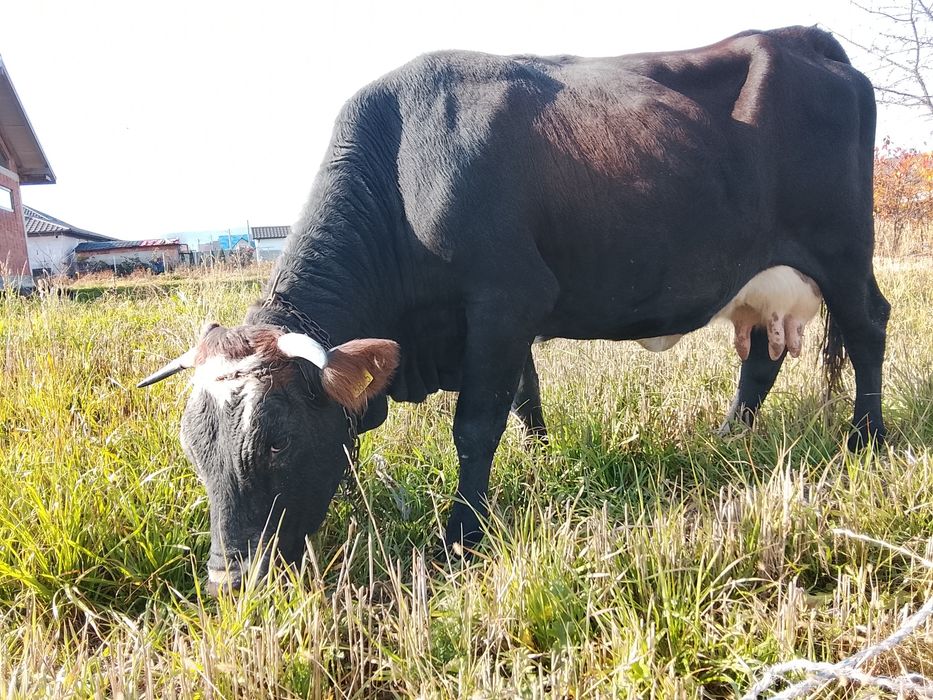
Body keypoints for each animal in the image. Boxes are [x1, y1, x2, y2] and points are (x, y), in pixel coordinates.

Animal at [138, 26, 889, 594]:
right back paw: (729, 436)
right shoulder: (505, 324)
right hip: (762, 286)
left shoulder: (505, 301)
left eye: (276, 442)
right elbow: (526, 405)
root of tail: (800, 37)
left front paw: (461, 533)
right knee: (761, 361)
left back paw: (867, 440)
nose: (229, 583)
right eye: (191, 447)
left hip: (844, 250)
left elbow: (476, 425)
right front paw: (543, 464)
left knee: (868, 325)